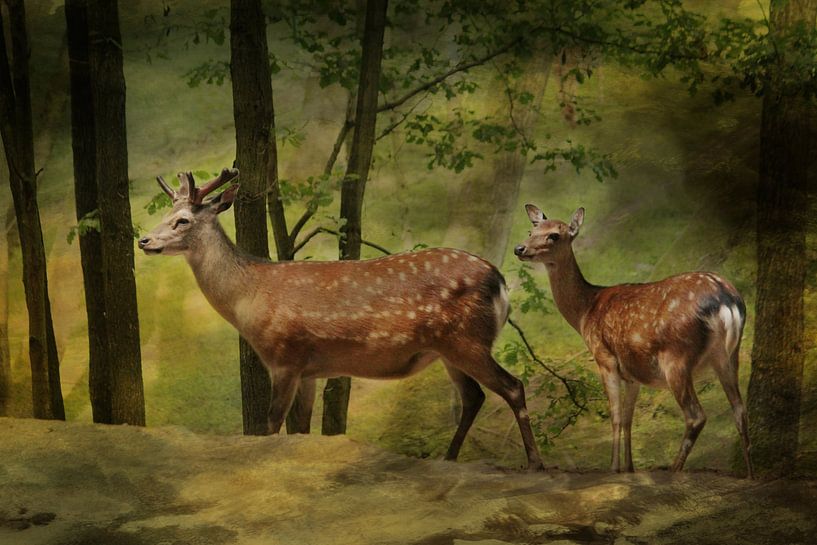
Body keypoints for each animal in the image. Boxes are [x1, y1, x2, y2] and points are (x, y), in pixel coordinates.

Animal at [137, 168, 545, 470]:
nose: (144, 240)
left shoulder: (284, 355)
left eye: (181, 221)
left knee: (512, 386)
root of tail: (500, 282)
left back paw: (535, 462)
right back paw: (449, 457)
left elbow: (271, 424)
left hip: (467, 339)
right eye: (164, 216)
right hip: (450, 349)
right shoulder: (309, 369)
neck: (249, 298)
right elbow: (301, 430)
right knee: (474, 396)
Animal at [514, 204, 753, 477]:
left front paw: (613, 468)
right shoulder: (633, 374)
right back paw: (749, 475)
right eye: (531, 231)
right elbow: (629, 419)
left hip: (676, 357)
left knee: (696, 416)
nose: (519, 248)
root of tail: (726, 299)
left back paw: (674, 470)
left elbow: (616, 417)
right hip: (729, 355)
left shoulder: (604, 358)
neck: (586, 311)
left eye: (554, 235)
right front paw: (628, 468)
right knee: (740, 410)